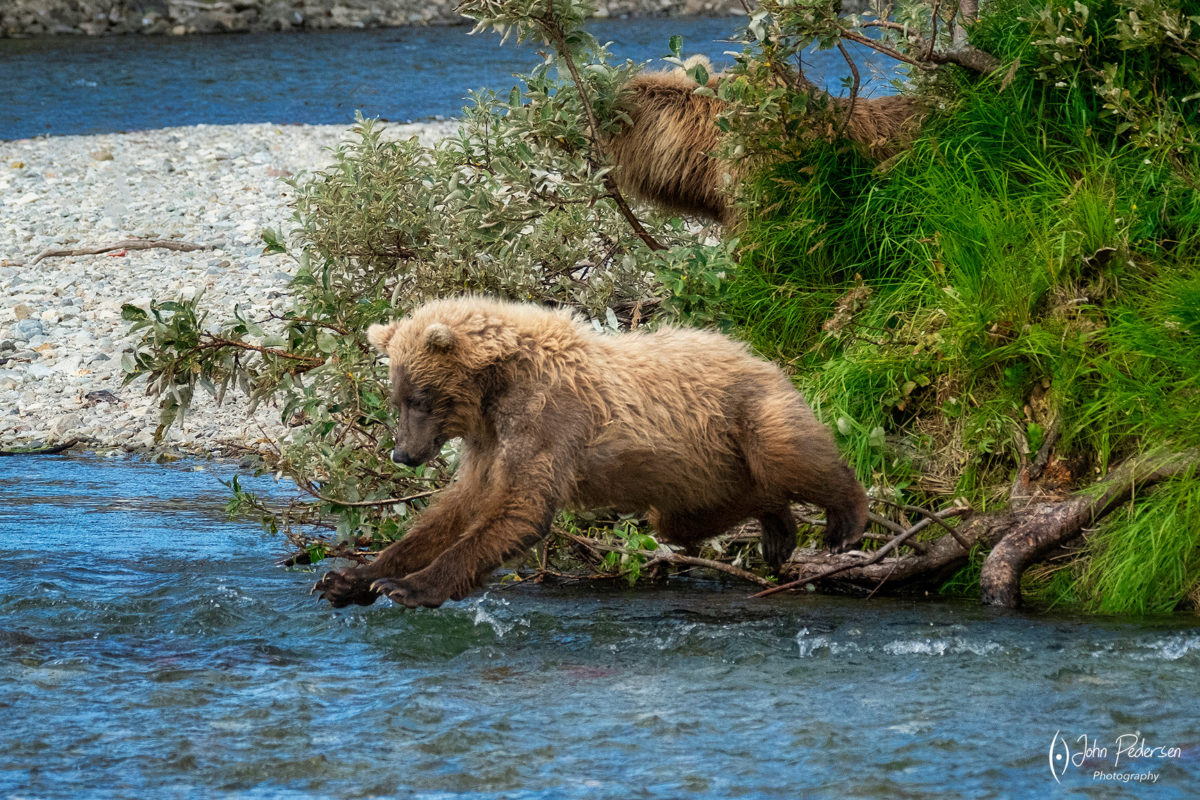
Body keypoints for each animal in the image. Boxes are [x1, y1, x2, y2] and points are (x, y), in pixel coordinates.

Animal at [312, 296, 869, 609]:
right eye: (397, 397)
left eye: (421, 398)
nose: (402, 454)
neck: (496, 387)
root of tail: (755, 351)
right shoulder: (489, 440)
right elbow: (460, 506)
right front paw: (349, 579)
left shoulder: (548, 418)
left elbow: (519, 507)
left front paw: (409, 588)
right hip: (694, 470)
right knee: (702, 512)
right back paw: (777, 529)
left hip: (742, 414)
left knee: (787, 455)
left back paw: (845, 518)